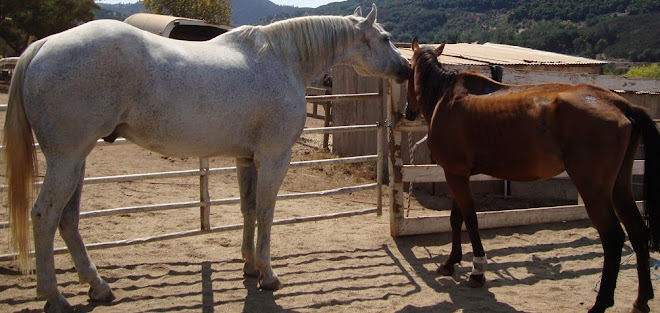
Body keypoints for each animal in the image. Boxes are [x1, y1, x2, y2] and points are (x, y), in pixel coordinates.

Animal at [2, 4, 410, 310]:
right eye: (386, 38)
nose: (406, 69)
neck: (282, 61)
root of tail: (42, 46)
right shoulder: (274, 157)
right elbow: (266, 212)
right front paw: (268, 274)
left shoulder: (246, 159)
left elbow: (248, 210)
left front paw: (249, 266)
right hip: (67, 159)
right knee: (45, 215)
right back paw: (54, 296)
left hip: (77, 160)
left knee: (68, 220)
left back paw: (97, 286)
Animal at [404, 39, 656, 312]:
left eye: (408, 70)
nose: (408, 112)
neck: (446, 96)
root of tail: (621, 105)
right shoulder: (458, 173)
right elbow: (455, 218)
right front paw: (451, 263)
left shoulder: (455, 175)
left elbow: (470, 220)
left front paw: (477, 271)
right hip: (620, 187)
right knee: (637, 231)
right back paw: (641, 300)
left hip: (594, 192)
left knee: (613, 238)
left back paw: (601, 303)